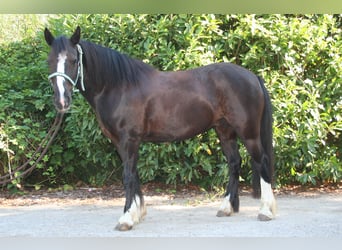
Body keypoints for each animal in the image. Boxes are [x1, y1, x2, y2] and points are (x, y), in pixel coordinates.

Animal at [44, 26, 276, 230]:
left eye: (74, 60)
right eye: (50, 61)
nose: (61, 101)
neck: (118, 86)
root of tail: (253, 76)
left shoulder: (129, 140)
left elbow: (128, 176)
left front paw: (126, 218)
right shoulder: (122, 143)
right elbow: (134, 175)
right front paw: (137, 213)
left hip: (249, 132)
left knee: (262, 162)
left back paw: (266, 211)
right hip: (225, 130)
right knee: (234, 163)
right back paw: (227, 207)